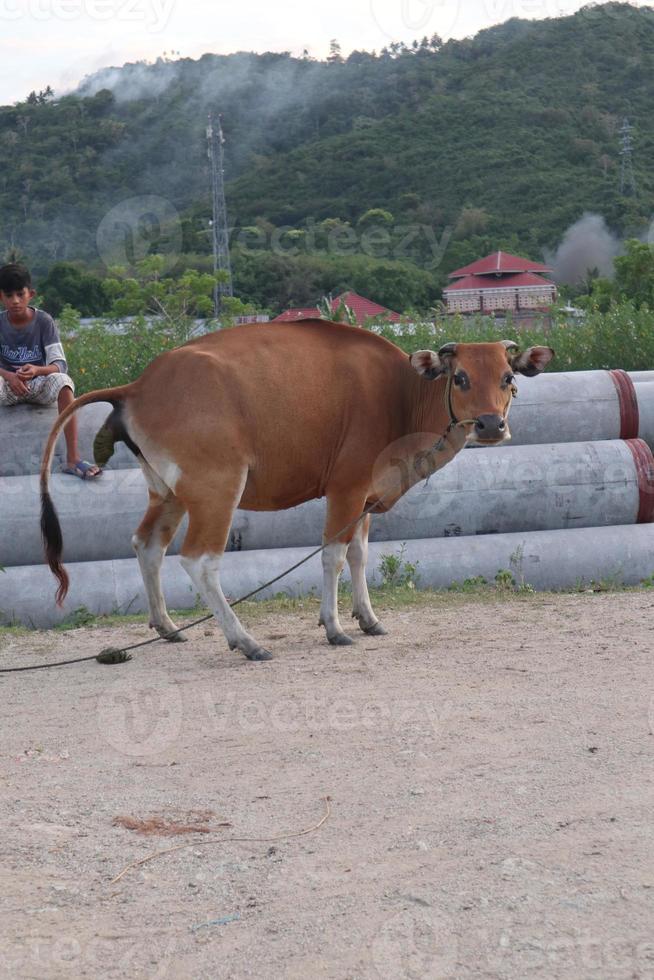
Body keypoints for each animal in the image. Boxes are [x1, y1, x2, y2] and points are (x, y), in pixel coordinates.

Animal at [39, 322, 552, 660]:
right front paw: (335, 626)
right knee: (199, 560)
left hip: (167, 493)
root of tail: (139, 385)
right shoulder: (345, 489)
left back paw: (166, 626)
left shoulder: (364, 498)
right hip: (216, 490)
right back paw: (245, 641)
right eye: (460, 377)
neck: (400, 394)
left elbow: (360, 555)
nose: (491, 425)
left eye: (507, 377)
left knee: (147, 545)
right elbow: (333, 555)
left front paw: (368, 618)